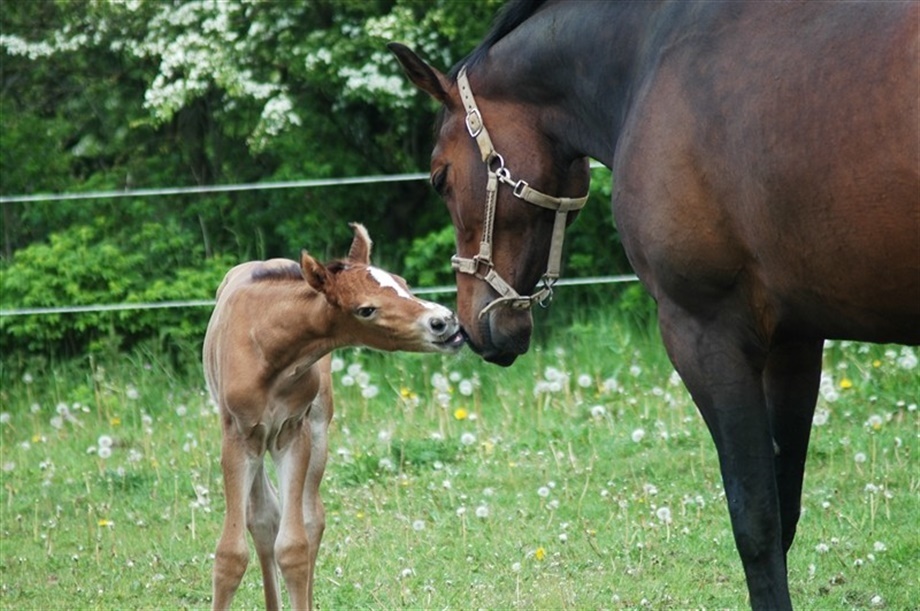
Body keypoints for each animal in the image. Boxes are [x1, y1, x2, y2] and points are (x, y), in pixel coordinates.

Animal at [203, 223, 465, 609]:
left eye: (401, 281)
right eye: (366, 309)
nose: (444, 322)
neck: (270, 346)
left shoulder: (292, 431)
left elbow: (294, 546)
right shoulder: (238, 435)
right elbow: (230, 555)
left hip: (316, 429)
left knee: (309, 520)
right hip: (257, 440)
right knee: (264, 518)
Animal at [388, 0, 919, 608]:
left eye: (439, 178)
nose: (475, 327)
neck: (650, 59)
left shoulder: (704, 332)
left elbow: (755, 521)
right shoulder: (796, 341)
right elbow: (784, 511)